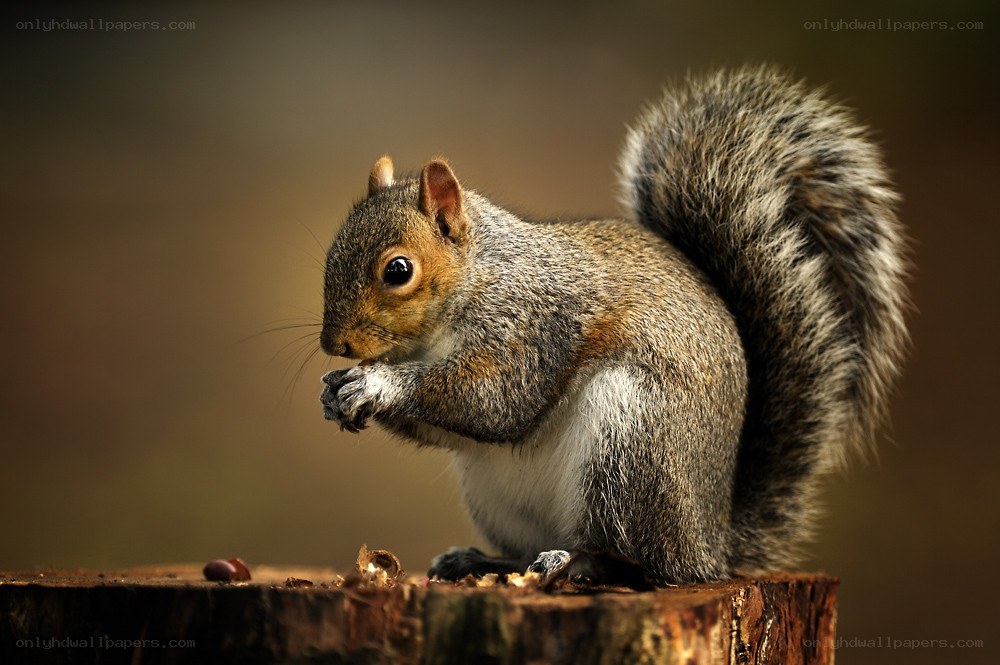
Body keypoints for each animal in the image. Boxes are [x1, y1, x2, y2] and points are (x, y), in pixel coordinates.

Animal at [318, 66, 909, 585]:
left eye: (398, 271)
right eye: (330, 254)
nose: (333, 344)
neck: (477, 278)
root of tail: (711, 545)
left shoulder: (533, 325)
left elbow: (493, 401)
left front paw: (379, 384)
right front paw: (335, 391)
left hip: (628, 448)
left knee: (633, 560)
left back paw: (575, 563)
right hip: (501, 493)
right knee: (534, 550)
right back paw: (483, 561)